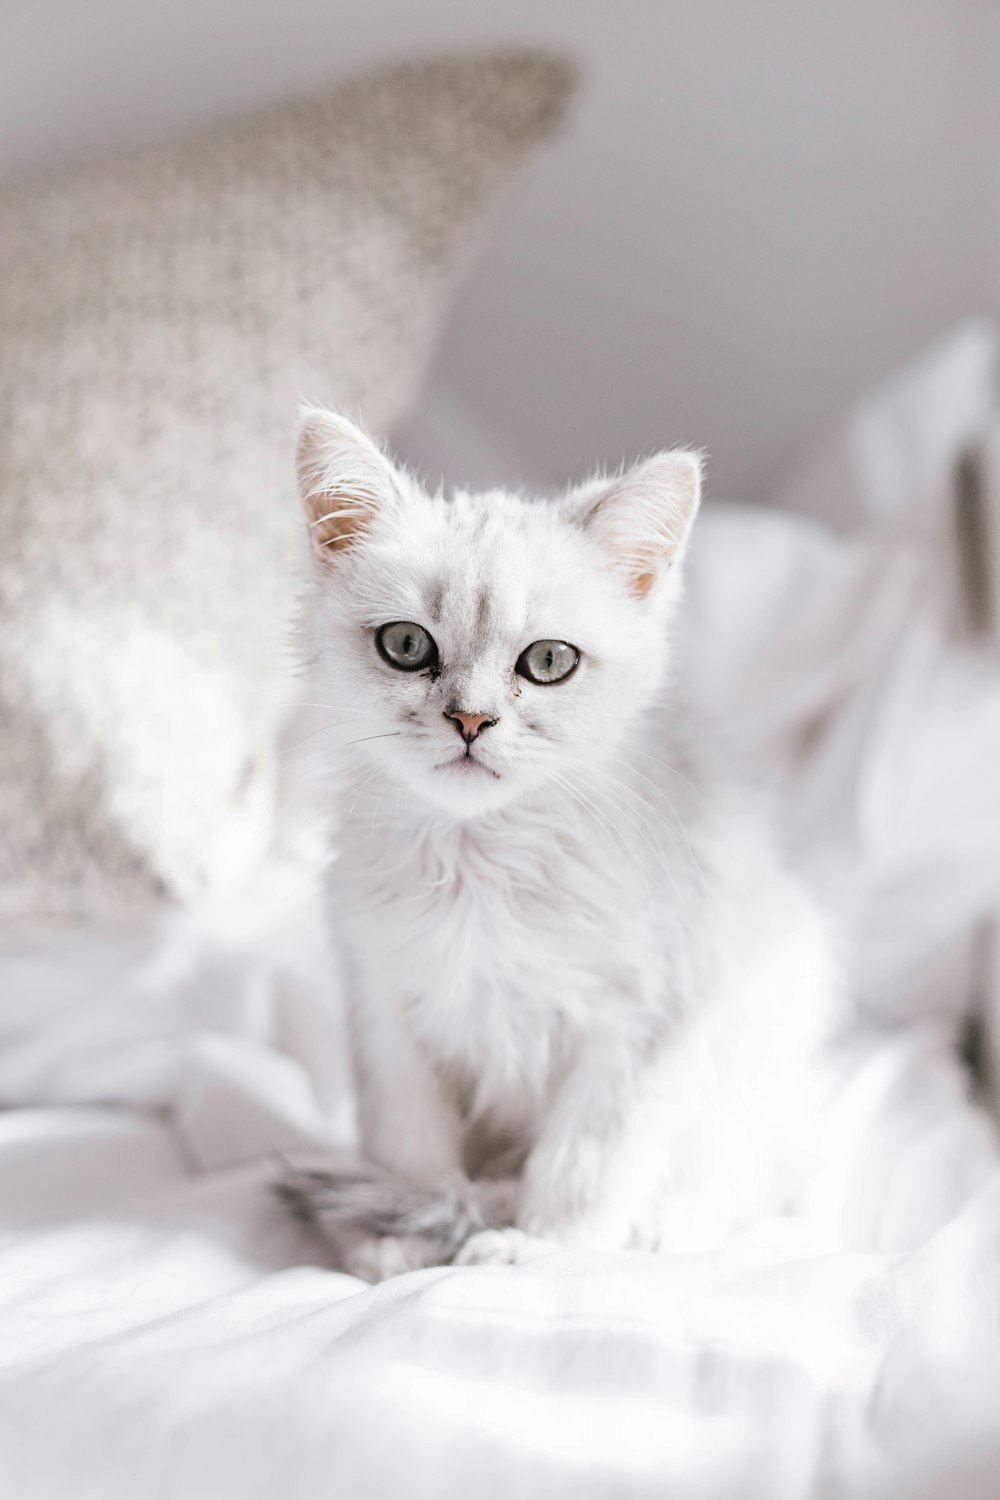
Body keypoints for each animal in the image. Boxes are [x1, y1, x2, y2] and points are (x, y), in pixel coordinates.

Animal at [281, 408, 845, 1278]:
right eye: (406, 647)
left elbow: (585, 1162)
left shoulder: (641, 1024)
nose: (471, 720)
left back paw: (661, 1226)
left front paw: (541, 1250)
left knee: (742, 1181)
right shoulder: (386, 1013)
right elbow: (413, 1153)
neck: (482, 864)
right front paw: (405, 1237)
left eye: (548, 661)